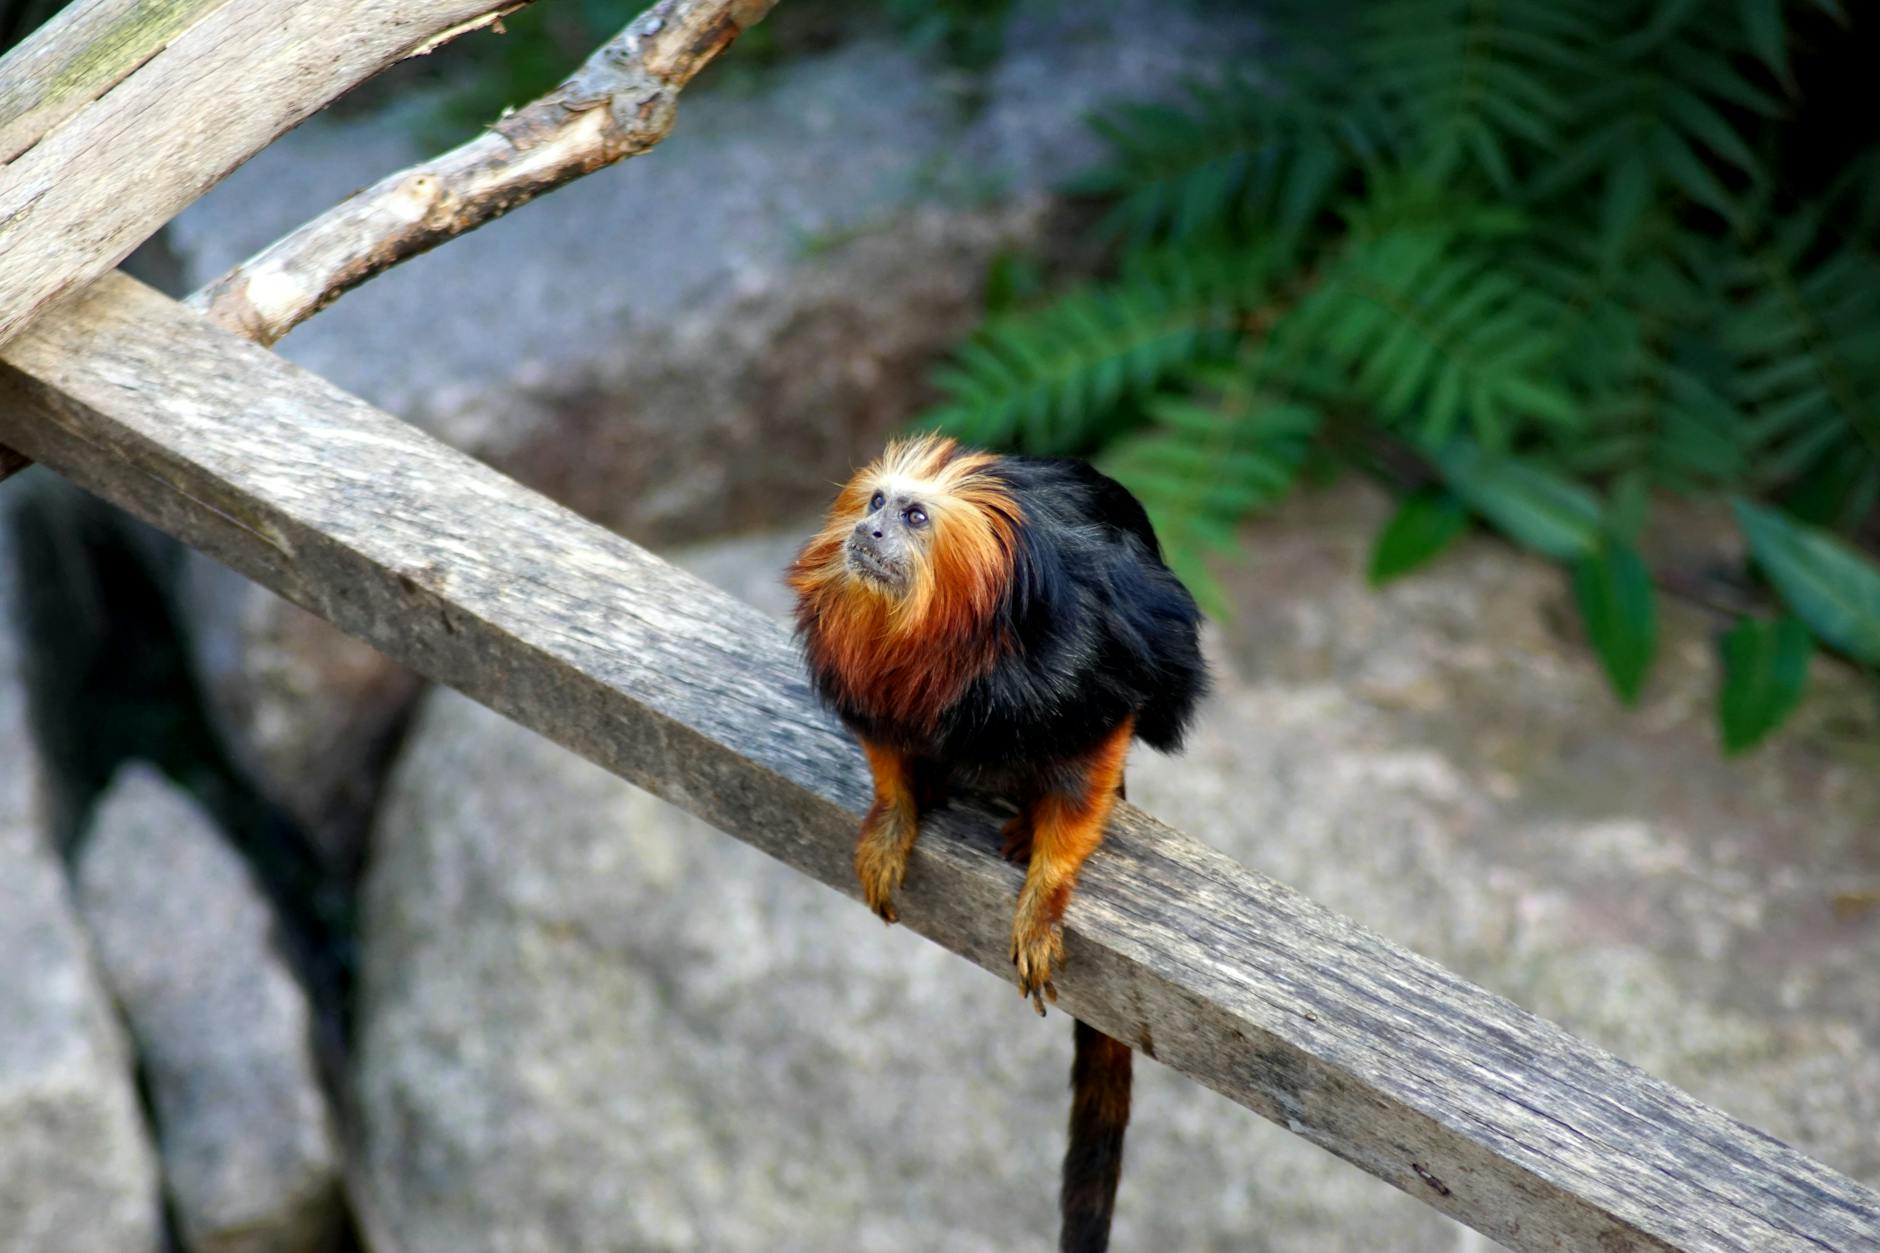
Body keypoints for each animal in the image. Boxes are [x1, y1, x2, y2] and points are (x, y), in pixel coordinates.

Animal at [788, 434, 1207, 1253]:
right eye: (876, 501)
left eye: (914, 516)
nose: (869, 530)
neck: (941, 628)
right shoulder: (876, 690)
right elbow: (889, 753)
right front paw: (893, 823)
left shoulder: (1082, 672)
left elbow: (1088, 771)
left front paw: (1044, 897)